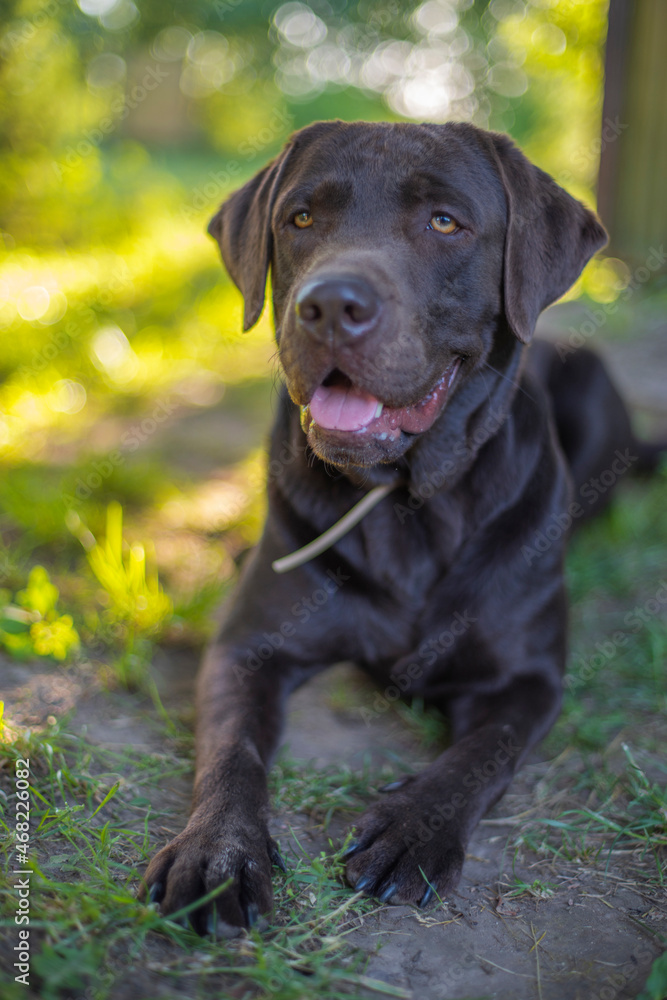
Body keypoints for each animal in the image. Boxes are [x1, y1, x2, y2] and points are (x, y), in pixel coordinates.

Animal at [142, 121, 664, 932]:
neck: (405, 506)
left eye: (444, 222)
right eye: (301, 219)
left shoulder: (528, 679)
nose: (330, 305)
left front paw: (413, 831)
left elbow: (481, 755)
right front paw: (217, 855)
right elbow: (230, 751)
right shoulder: (245, 648)